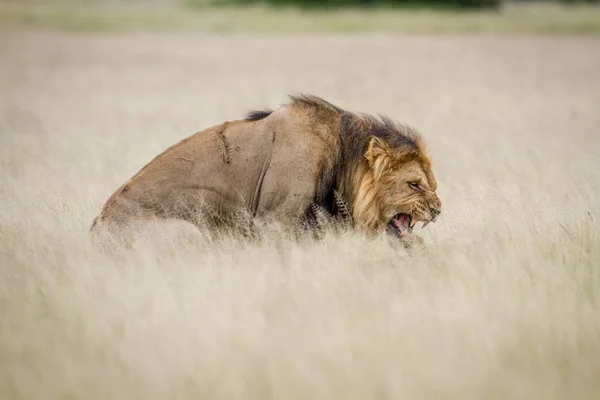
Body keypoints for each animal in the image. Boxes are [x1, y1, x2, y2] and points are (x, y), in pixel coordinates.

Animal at [91, 95, 442, 247]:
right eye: (414, 184)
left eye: (433, 184)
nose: (438, 210)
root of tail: (95, 229)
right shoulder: (273, 222)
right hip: (188, 231)